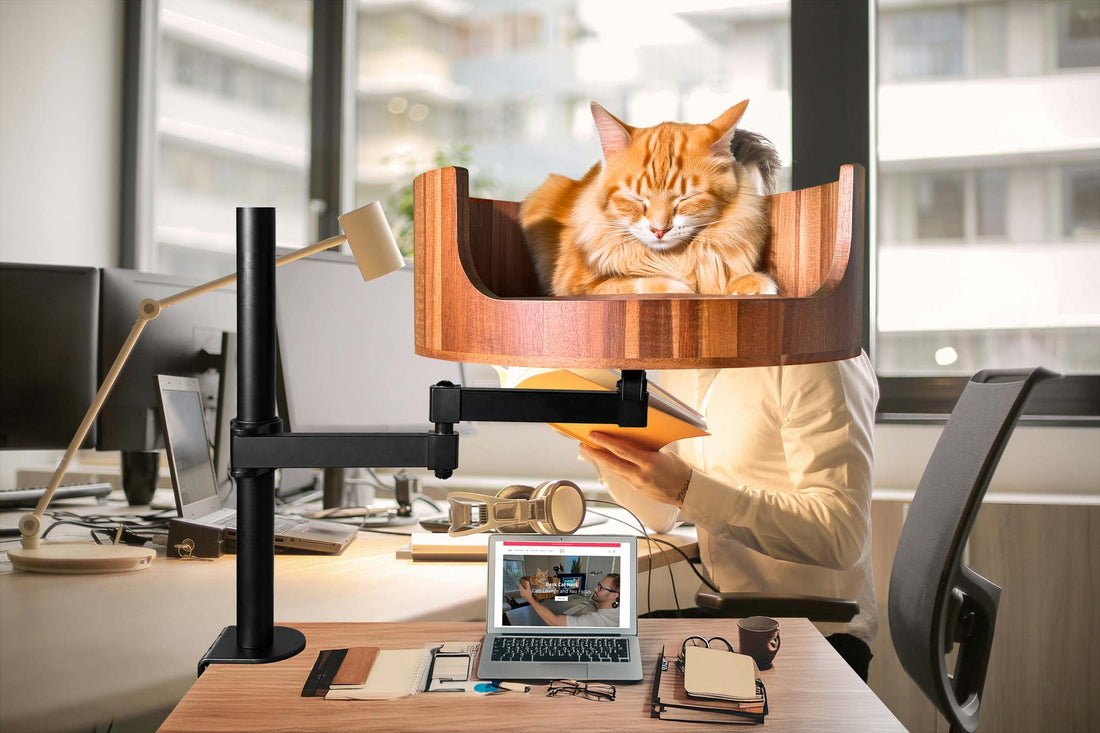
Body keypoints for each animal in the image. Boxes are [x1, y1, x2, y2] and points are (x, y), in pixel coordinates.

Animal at [519, 99, 778, 294]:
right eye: (636, 199)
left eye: (685, 199)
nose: (659, 230)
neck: (673, 258)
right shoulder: (574, 284)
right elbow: (636, 282)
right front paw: (680, 286)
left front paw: (750, 282)